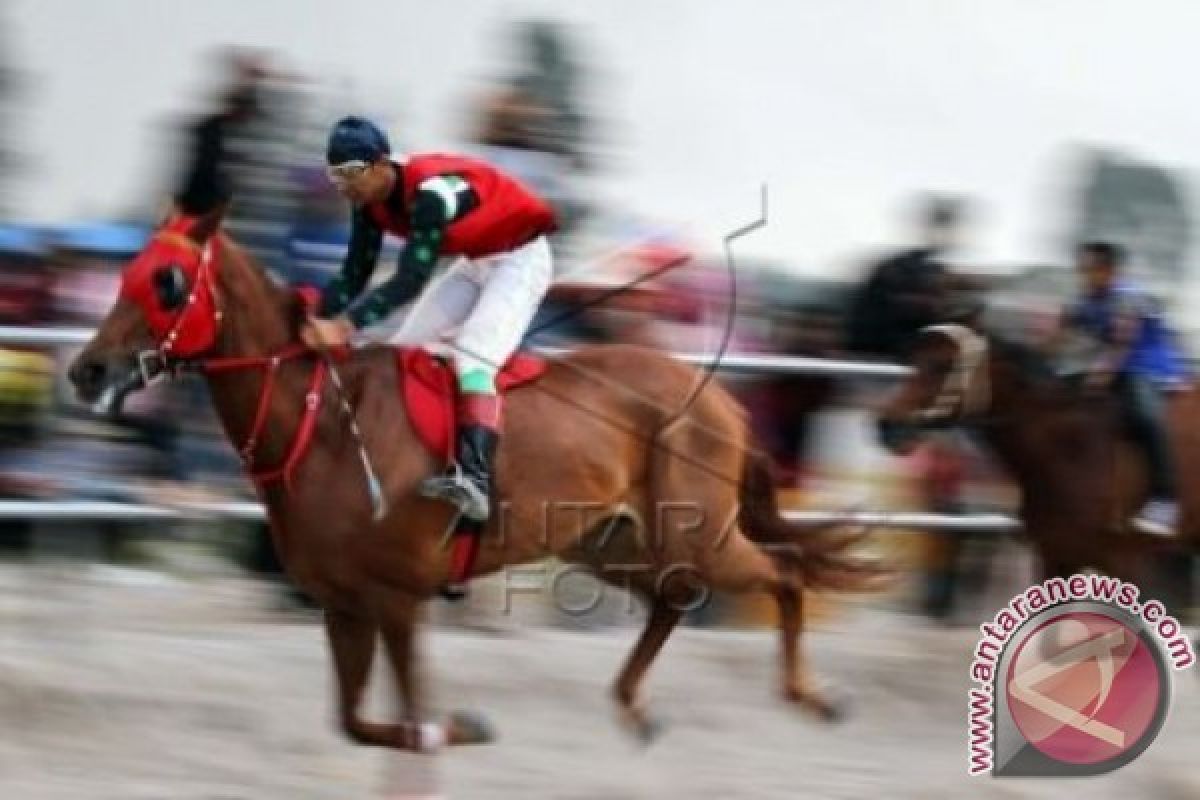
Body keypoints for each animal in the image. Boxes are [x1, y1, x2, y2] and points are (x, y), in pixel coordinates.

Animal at [70, 211, 888, 753]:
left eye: (167, 281)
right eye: (127, 272)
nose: (87, 370)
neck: (320, 425)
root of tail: (718, 393)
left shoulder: (397, 599)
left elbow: (405, 718)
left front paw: (455, 722)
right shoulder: (343, 604)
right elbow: (358, 723)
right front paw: (458, 723)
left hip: (698, 534)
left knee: (783, 570)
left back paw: (811, 697)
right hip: (608, 541)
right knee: (673, 598)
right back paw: (634, 705)